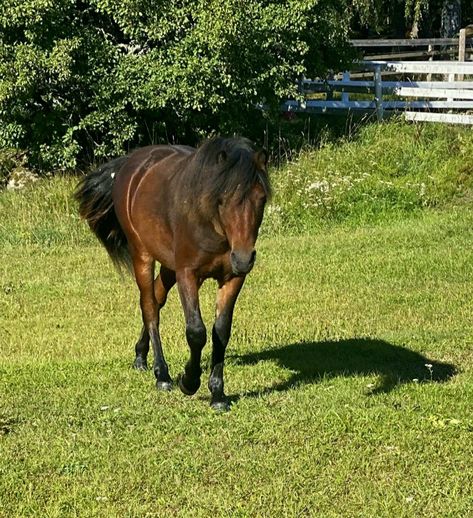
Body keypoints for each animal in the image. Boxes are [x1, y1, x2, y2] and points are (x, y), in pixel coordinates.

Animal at [75, 137, 272, 410]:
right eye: (222, 199)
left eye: (261, 198)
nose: (243, 258)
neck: (210, 222)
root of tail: (131, 164)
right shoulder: (187, 274)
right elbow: (196, 332)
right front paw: (189, 381)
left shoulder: (233, 278)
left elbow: (221, 332)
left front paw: (218, 394)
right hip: (142, 256)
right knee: (149, 307)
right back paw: (162, 374)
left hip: (169, 264)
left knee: (157, 298)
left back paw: (140, 356)